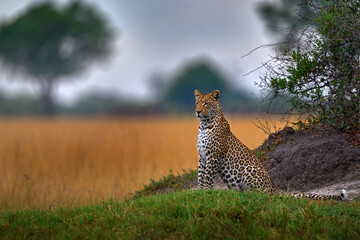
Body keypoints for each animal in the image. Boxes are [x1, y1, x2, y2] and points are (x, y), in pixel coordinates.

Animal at [194, 89, 348, 201]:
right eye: (197, 103)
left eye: (206, 103)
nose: (197, 111)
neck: (204, 125)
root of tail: (273, 187)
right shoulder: (202, 157)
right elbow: (201, 175)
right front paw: (198, 190)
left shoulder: (214, 155)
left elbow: (208, 176)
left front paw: (205, 191)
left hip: (250, 170)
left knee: (262, 194)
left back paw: (249, 194)